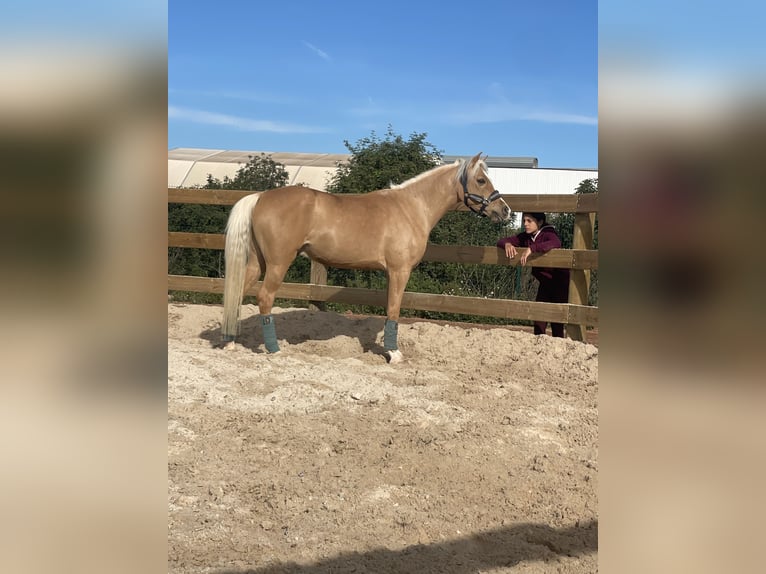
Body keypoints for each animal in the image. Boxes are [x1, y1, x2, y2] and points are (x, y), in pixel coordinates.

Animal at [219, 153, 512, 364]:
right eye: (481, 180)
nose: (505, 210)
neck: (411, 208)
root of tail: (259, 197)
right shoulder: (399, 270)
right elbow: (394, 309)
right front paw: (394, 354)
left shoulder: (390, 273)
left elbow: (388, 308)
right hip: (278, 264)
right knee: (264, 297)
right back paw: (274, 349)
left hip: (257, 263)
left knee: (237, 293)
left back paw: (230, 342)